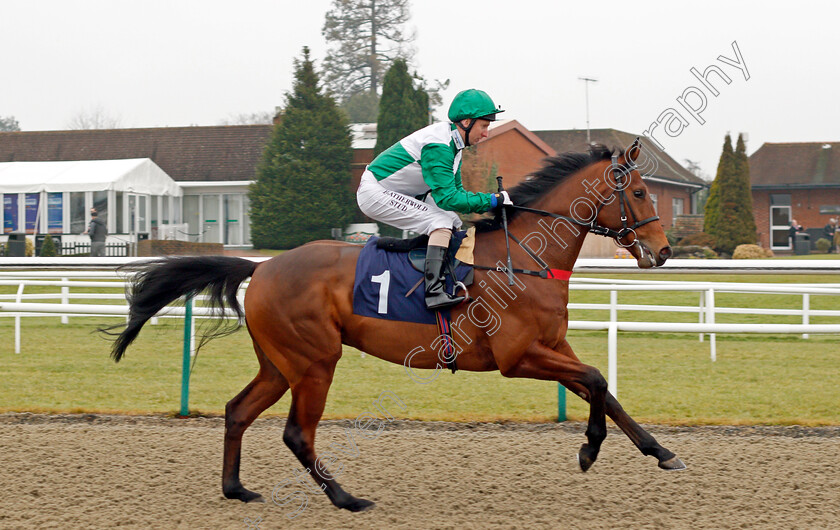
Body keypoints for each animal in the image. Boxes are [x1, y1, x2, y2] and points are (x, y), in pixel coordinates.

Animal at [106, 140, 684, 512]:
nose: (662, 252)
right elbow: (596, 380)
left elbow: (603, 389)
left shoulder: (551, 347)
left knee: (237, 411)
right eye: (638, 193)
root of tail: (261, 266)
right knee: (297, 433)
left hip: (279, 363)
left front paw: (662, 452)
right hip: (315, 362)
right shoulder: (516, 357)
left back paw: (236, 489)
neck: (522, 257)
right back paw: (346, 498)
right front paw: (589, 449)